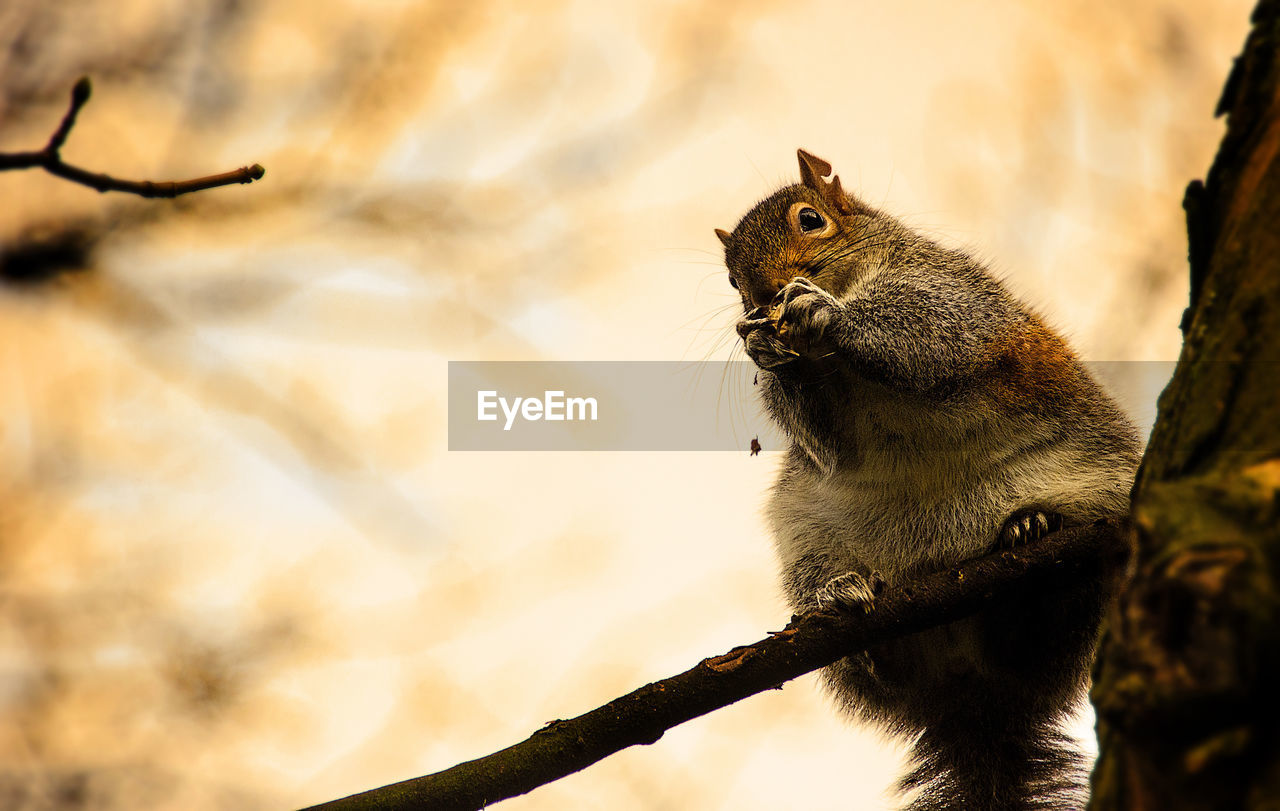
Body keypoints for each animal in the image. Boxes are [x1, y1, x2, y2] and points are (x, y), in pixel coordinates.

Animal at [716, 150, 1146, 808]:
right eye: (731, 281)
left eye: (810, 220)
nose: (758, 299)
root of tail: (973, 702)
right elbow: (825, 439)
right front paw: (767, 347)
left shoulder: (952, 292)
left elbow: (932, 331)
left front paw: (823, 313)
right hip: (810, 540)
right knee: (892, 667)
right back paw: (850, 605)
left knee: (1043, 639)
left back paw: (1033, 534)